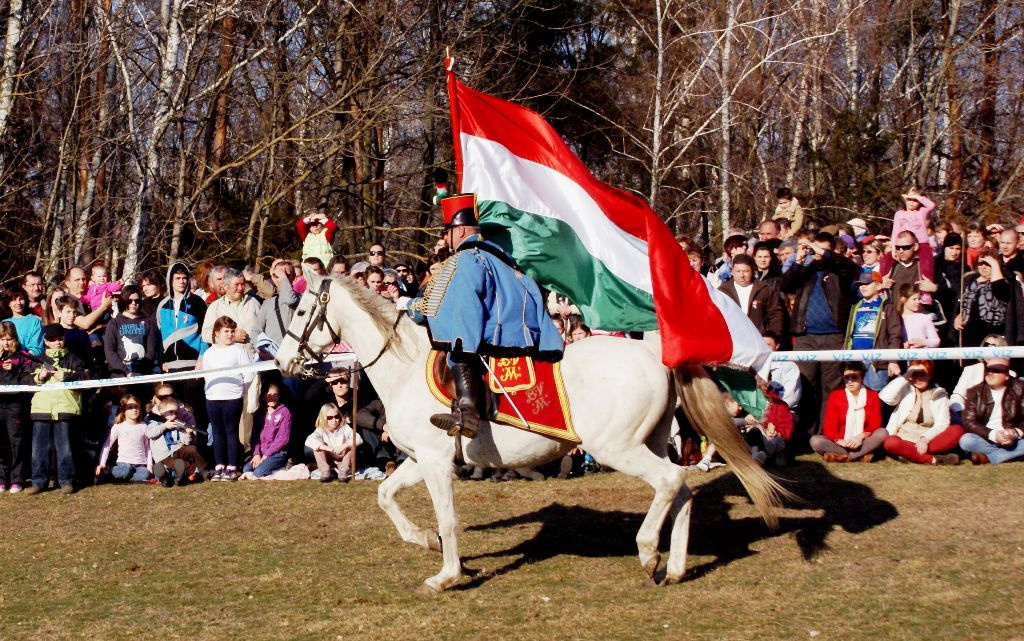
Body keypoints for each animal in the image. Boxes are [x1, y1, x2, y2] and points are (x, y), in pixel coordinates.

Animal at [274, 270, 782, 589]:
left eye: (300, 313)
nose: (283, 361)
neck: (406, 366)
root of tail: (651, 351)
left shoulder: (437, 464)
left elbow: (447, 517)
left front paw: (446, 575)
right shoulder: (423, 460)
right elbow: (385, 496)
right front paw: (425, 541)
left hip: (617, 448)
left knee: (671, 481)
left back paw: (647, 552)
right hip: (651, 441)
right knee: (683, 491)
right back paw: (674, 567)